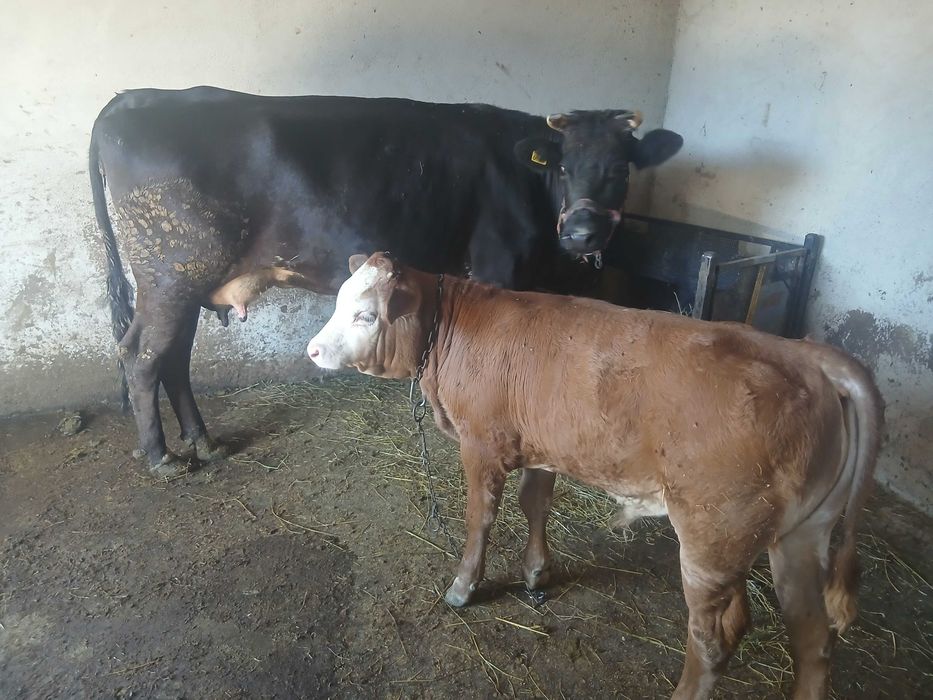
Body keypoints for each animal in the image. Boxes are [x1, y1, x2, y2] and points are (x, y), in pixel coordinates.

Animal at [90, 86, 683, 477]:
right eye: (562, 167)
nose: (584, 232)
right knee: (142, 355)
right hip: (169, 275)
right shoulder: (499, 268)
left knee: (173, 357)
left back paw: (202, 441)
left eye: (621, 169)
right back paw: (163, 457)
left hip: (184, 282)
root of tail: (136, 97)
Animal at [306, 252, 883, 700]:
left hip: (712, 537)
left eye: (364, 314)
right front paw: (537, 573)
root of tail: (809, 357)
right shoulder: (540, 445)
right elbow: (535, 503)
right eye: (337, 302)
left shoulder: (482, 446)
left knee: (715, 639)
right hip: (801, 535)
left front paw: (464, 586)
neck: (450, 330)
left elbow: (480, 520)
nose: (312, 350)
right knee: (813, 639)